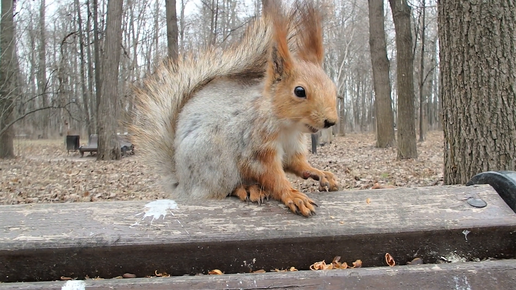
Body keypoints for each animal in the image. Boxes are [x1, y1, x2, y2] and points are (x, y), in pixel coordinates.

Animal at [134, 1, 338, 216]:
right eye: (299, 91)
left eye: (332, 86)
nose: (331, 121)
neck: (287, 126)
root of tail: (183, 186)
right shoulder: (255, 146)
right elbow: (272, 175)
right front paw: (293, 195)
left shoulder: (293, 146)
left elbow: (297, 164)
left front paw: (321, 173)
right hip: (214, 160)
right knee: (224, 189)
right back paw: (247, 188)